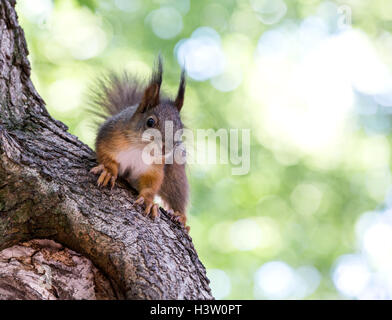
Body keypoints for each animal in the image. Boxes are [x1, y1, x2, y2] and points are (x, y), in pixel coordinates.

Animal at [90, 57, 191, 232]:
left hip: (175, 172)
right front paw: (109, 171)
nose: (166, 149)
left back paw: (180, 215)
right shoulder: (109, 136)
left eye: (181, 130)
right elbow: (105, 155)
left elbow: (152, 182)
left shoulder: (155, 166)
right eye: (150, 122)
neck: (139, 149)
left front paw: (149, 201)